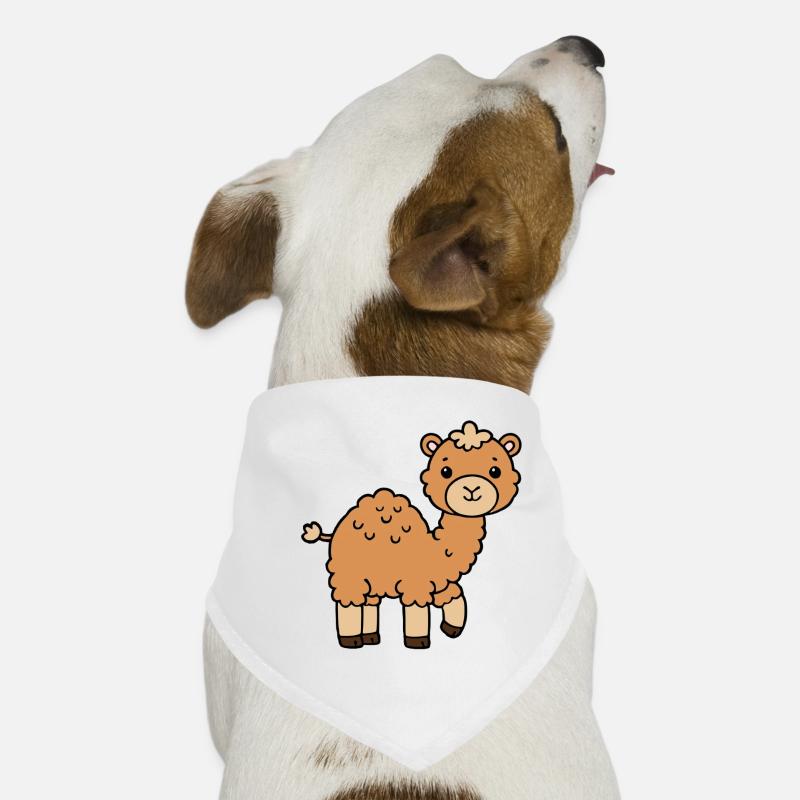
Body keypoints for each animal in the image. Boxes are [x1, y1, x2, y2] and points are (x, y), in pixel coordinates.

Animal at [302, 420, 521, 648]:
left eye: (495, 471)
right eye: (445, 471)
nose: (471, 488)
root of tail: (337, 527)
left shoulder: (440, 581)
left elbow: (454, 597)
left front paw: (451, 629)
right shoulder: (416, 582)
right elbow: (418, 611)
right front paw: (419, 642)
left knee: (370, 600)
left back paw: (371, 637)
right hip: (349, 570)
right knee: (349, 599)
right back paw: (351, 641)